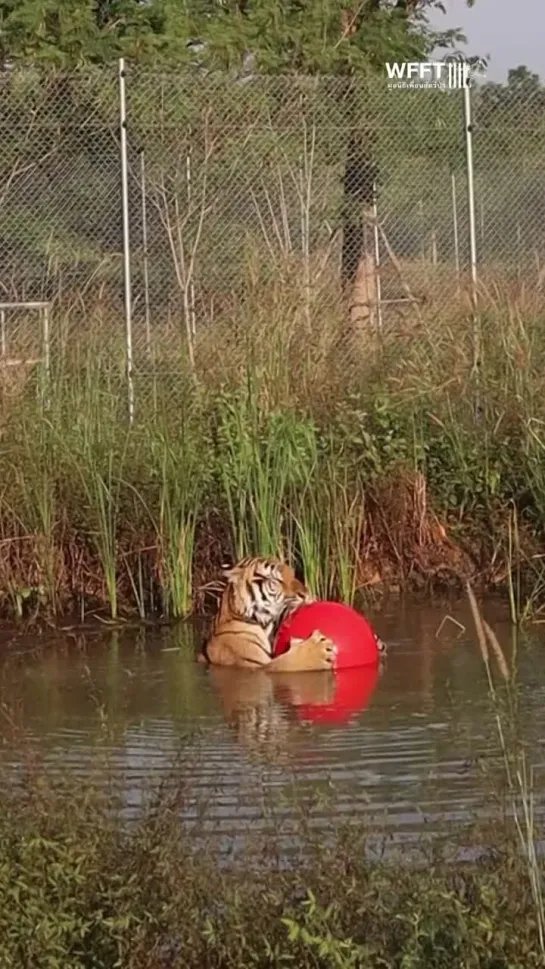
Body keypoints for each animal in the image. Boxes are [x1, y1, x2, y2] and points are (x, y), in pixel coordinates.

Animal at [200, 552, 336, 672]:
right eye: (277, 580)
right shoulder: (258, 666)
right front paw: (319, 650)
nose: (305, 594)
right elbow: (289, 661)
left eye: (292, 574)